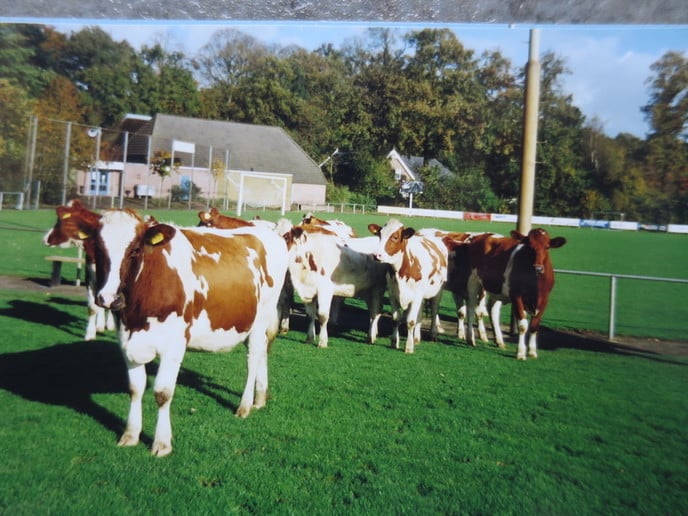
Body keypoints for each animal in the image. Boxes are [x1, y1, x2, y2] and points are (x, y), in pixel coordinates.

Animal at [43, 199, 116, 340]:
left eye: (59, 221)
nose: (45, 238)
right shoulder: (90, 278)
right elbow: (93, 307)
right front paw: (90, 334)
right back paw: (100, 325)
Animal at [76, 208, 287, 456]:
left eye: (135, 249)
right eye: (98, 248)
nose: (108, 298)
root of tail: (268, 232)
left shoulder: (174, 344)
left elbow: (163, 392)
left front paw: (162, 443)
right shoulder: (126, 340)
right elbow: (135, 389)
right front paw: (130, 435)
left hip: (261, 316)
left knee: (253, 358)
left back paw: (244, 405)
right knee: (262, 351)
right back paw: (260, 398)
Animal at [368, 219, 448, 354]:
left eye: (395, 237)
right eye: (379, 234)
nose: (376, 255)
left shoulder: (416, 296)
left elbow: (410, 321)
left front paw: (409, 347)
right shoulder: (393, 294)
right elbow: (396, 318)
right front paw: (394, 342)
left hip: (438, 291)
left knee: (434, 311)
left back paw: (433, 335)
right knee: (420, 314)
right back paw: (416, 338)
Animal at [453, 228, 566, 360]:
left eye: (547, 247)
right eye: (529, 246)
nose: (538, 268)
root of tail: (480, 236)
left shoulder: (544, 299)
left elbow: (534, 326)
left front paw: (532, 352)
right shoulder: (516, 296)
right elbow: (522, 325)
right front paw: (521, 352)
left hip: (496, 290)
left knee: (493, 310)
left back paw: (499, 341)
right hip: (473, 282)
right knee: (471, 308)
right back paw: (471, 338)